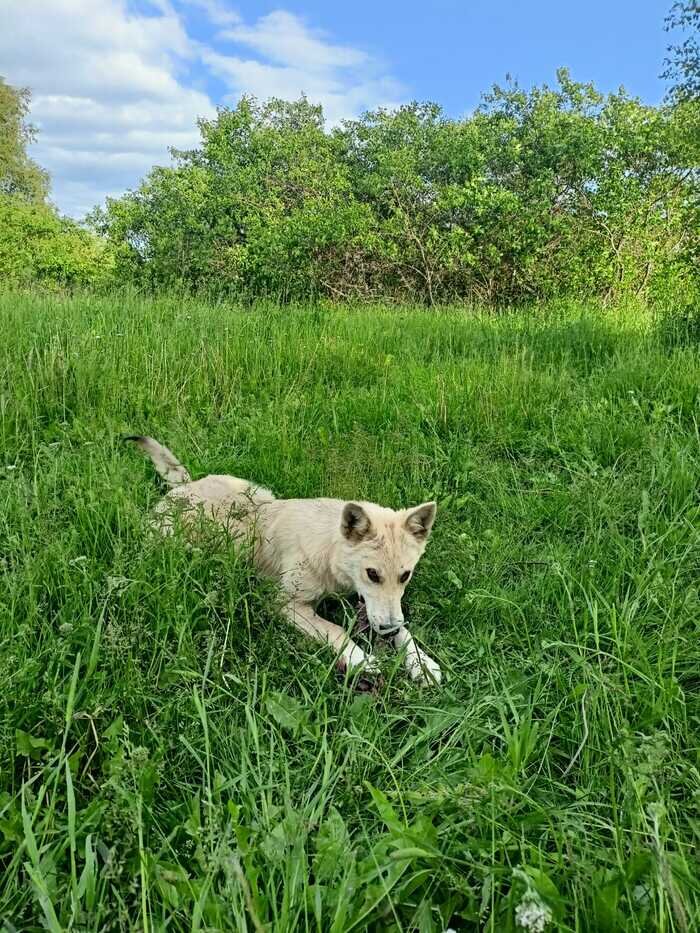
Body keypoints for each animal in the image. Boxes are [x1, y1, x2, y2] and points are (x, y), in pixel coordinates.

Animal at [126, 436, 440, 684]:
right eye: (372, 573)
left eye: (405, 576)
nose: (388, 630)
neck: (329, 552)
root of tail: (184, 486)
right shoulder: (284, 604)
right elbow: (334, 628)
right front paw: (360, 658)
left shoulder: (369, 603)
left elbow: (405, 630)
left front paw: (422, 664)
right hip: (183, 545)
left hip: (259, 491)